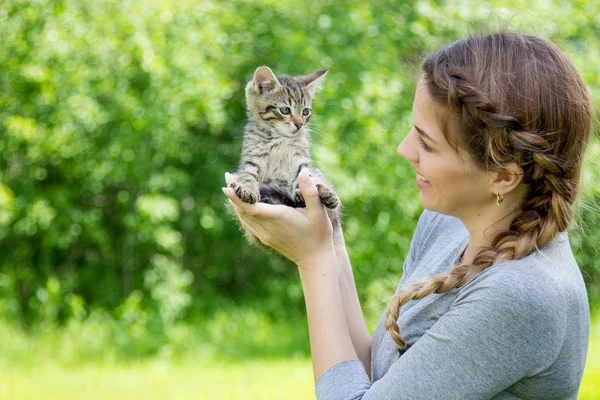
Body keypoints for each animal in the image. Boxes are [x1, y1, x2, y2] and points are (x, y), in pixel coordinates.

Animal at [231, 65, 342, 247]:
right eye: (285, 110)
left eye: (306, 111)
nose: (299, 124)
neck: (280, 138)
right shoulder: (252, 159)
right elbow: (247, 175)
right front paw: (247, 188)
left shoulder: (301, 161)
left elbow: (309, 175)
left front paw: (325, 190)